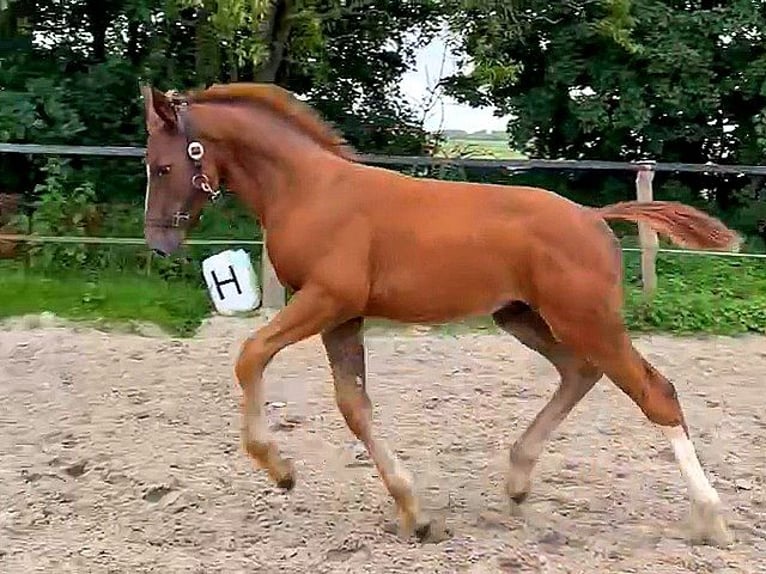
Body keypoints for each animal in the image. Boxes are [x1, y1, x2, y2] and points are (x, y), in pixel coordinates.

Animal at [141, 81, 740, 544]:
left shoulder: (326, 300)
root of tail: (595, 217)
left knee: (655, 392)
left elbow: (250, 355)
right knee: (579, 372)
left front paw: (280, 470)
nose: (158, 243)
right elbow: (354, 407)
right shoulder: (342, 317)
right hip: (522, 317)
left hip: (585, 320)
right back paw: (518, 479)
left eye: (163, 165)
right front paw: (415, 513)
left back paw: (711, 518)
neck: (311, 189)